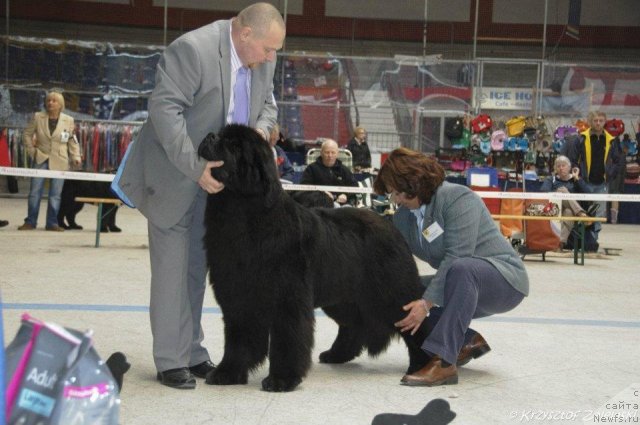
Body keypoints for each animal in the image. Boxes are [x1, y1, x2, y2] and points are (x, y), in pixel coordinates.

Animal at [199, 123, 430, 390]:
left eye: (235, 146)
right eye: (220, 135)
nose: (209, 136)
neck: (242, 214)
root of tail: (390, 224)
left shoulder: (288, 297)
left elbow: (288, 338)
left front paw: (282, 379)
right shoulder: (235, 293)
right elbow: (238, 338)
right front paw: (227, 372)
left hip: (392, 293)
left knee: (417, 323)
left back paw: (426, 365)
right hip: (343, 297)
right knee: (354, 324)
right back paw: (337, 354)